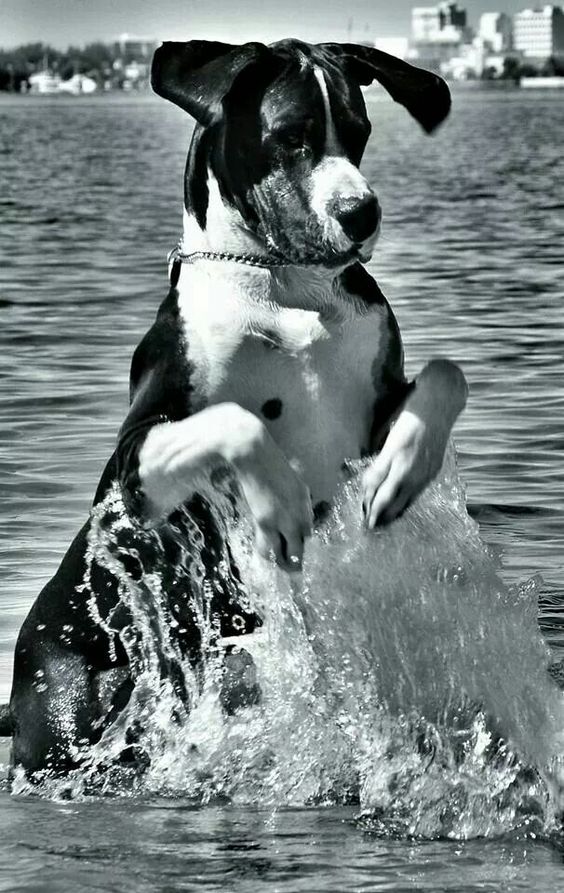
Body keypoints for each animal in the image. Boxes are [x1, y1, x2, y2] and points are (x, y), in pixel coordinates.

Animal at [5, 40, 468, 772]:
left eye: (360, 133)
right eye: (291, 135)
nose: (362, 213)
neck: (284, 287)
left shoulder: (375, 407)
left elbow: (447, 376)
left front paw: (401, 470)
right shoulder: (138, 460)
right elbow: (238, 420)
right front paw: (277, 502)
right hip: (70, 715)